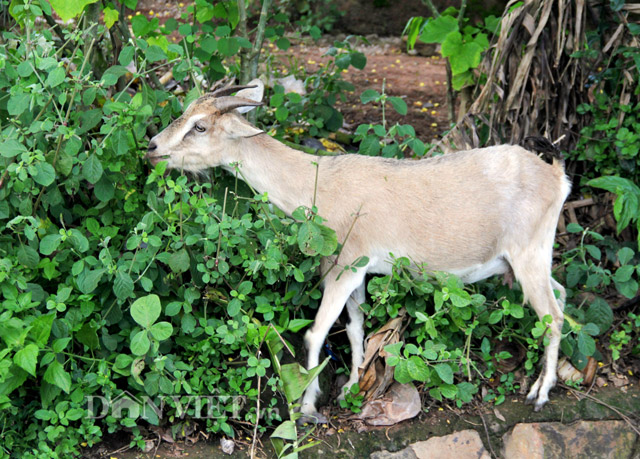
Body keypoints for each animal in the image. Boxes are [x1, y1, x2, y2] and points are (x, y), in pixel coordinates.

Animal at [149, 79, 568, 424]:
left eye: (200, 126)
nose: (152, 147)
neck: (320, 182)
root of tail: (556, 175)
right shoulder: (358, 271)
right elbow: (355, 327)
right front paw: (352, 387)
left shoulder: (344, 267)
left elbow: (316, 333)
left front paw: (308, 407)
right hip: (530, 261)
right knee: (560, 297)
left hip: (528, 254)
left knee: (554, 316)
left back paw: (540, 396)